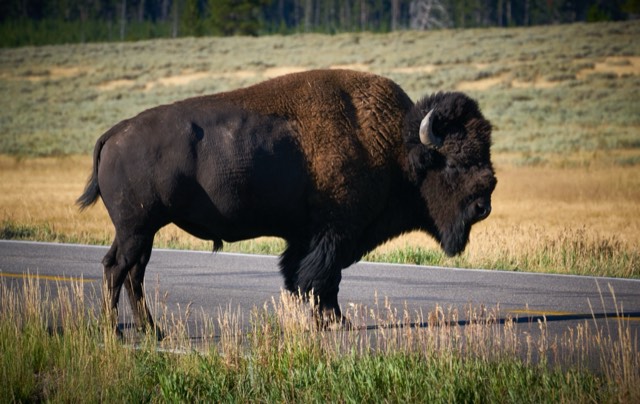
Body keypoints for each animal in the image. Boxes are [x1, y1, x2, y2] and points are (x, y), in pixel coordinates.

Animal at [77, 69, 496, 336]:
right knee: (118, 270)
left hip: (139, 232)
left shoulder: (307, 237)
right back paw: (117, 333)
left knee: (130, 272)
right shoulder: (335, 233)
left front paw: (326, 320)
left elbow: (302, 275)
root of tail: (113, 134)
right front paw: (334, 322)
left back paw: (153, 331)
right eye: (454, 163)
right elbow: (323, 278)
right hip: (136, 230)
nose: (484, 205)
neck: (394, 144)